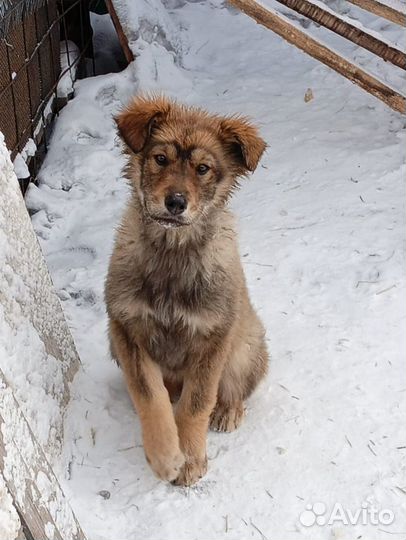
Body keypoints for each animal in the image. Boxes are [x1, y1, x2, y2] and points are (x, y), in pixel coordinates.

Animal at [104, 95, 270, 488]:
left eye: (203, 169)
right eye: (160, 159)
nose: (175, 203)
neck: (172, 251)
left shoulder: (213, 336)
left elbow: (197, 403)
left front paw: (191, 459)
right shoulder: (127, 329)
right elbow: (151, 397)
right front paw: (166, 457)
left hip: (246, 345)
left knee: (234, 387)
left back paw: (228, 411)